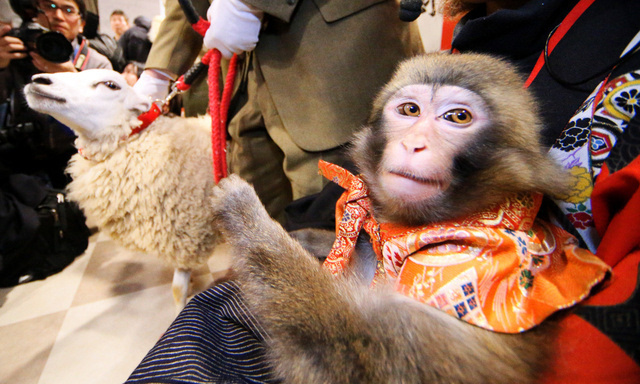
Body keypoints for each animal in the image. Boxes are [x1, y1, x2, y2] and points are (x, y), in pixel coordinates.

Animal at [210, 51, 608, 384]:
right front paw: (309, 238)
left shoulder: (469, 276)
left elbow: (368, 355)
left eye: (458, 117)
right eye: (410, 110)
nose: (413, 143)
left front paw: (245, 213)